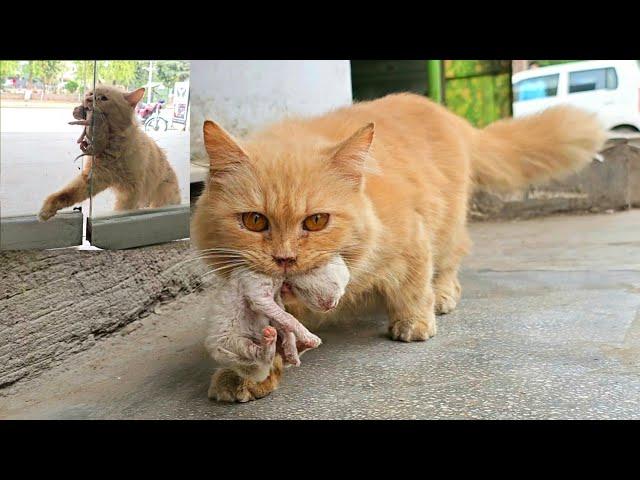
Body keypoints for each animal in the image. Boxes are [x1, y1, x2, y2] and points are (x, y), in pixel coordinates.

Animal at [38, 85, 180, 220]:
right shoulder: (93, 177)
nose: (88, 99)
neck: (111, 147)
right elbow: (67, 193)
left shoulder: (131, 190)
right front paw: (47, 209)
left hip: (158, 198)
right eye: (90, 94)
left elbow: (121, 210)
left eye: (103, 98)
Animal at [208, 255, 350, 398]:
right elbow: (288, 318)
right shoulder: (260, 296)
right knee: (260, 357)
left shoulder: (276, 299)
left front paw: (292, 349)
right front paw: (308, 336)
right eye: (336, 284)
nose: (333, 306)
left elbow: (284, 322)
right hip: (233, 343)